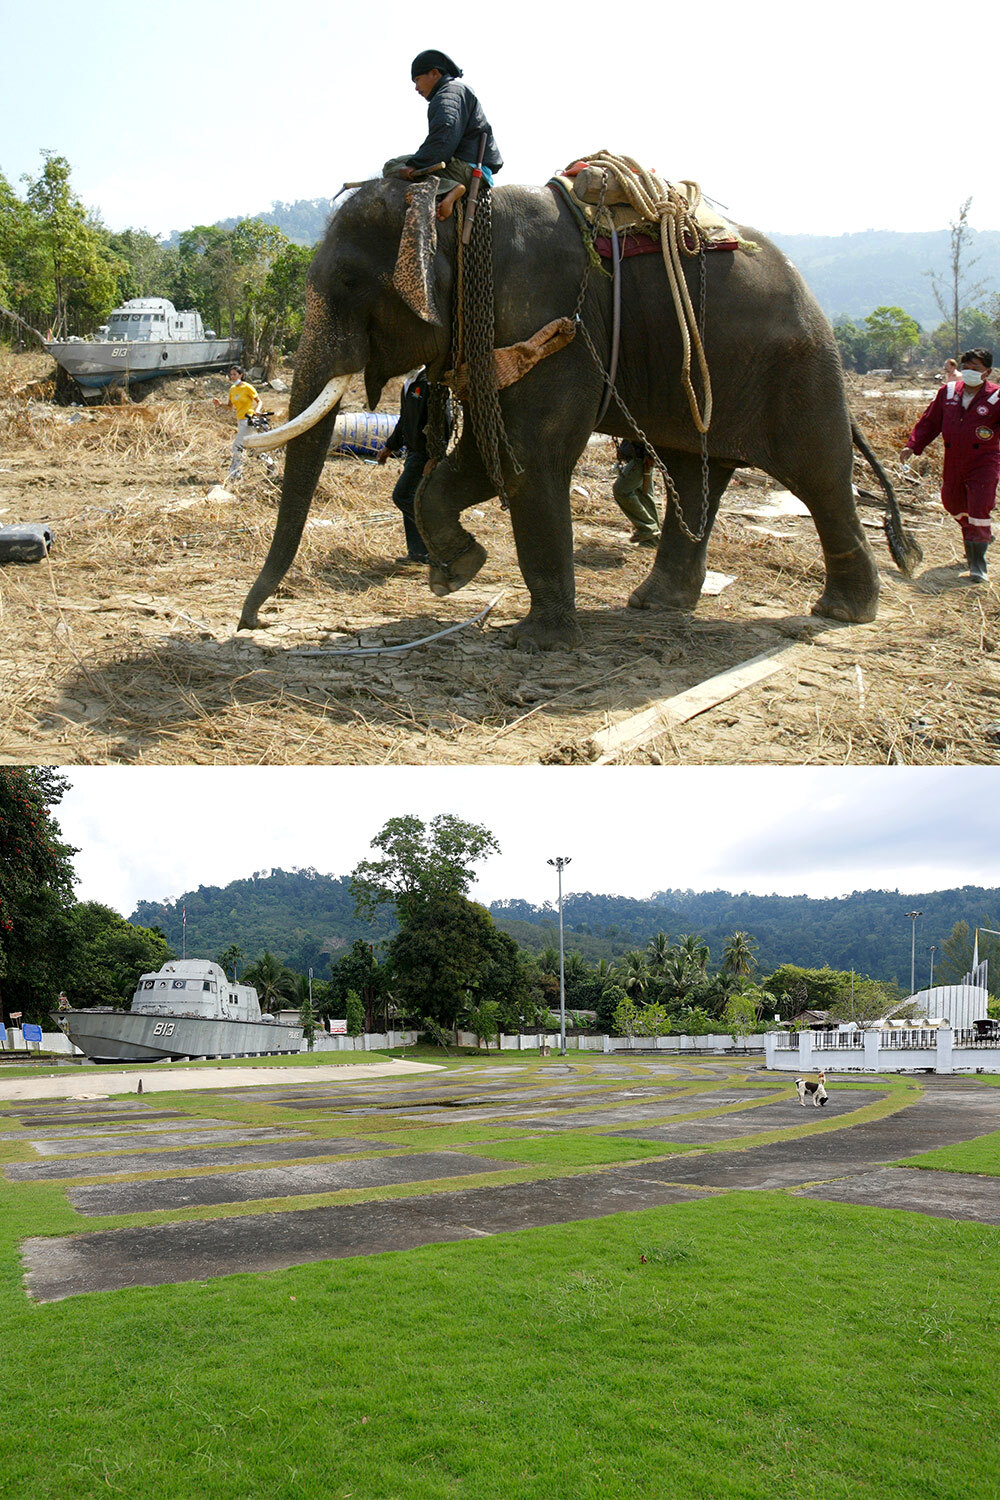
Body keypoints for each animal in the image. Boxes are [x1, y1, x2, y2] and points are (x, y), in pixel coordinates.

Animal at [239, 171, 917, 651]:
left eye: (349, 283)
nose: (252, 623)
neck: (459, 210)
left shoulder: (550, 319)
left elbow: (528, 461)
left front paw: (533, 642)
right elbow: (487, 458)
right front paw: (457, 574)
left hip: (799, 369)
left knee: (819, 476)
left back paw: (841, 612)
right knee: (696, 474)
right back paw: (654, 603)